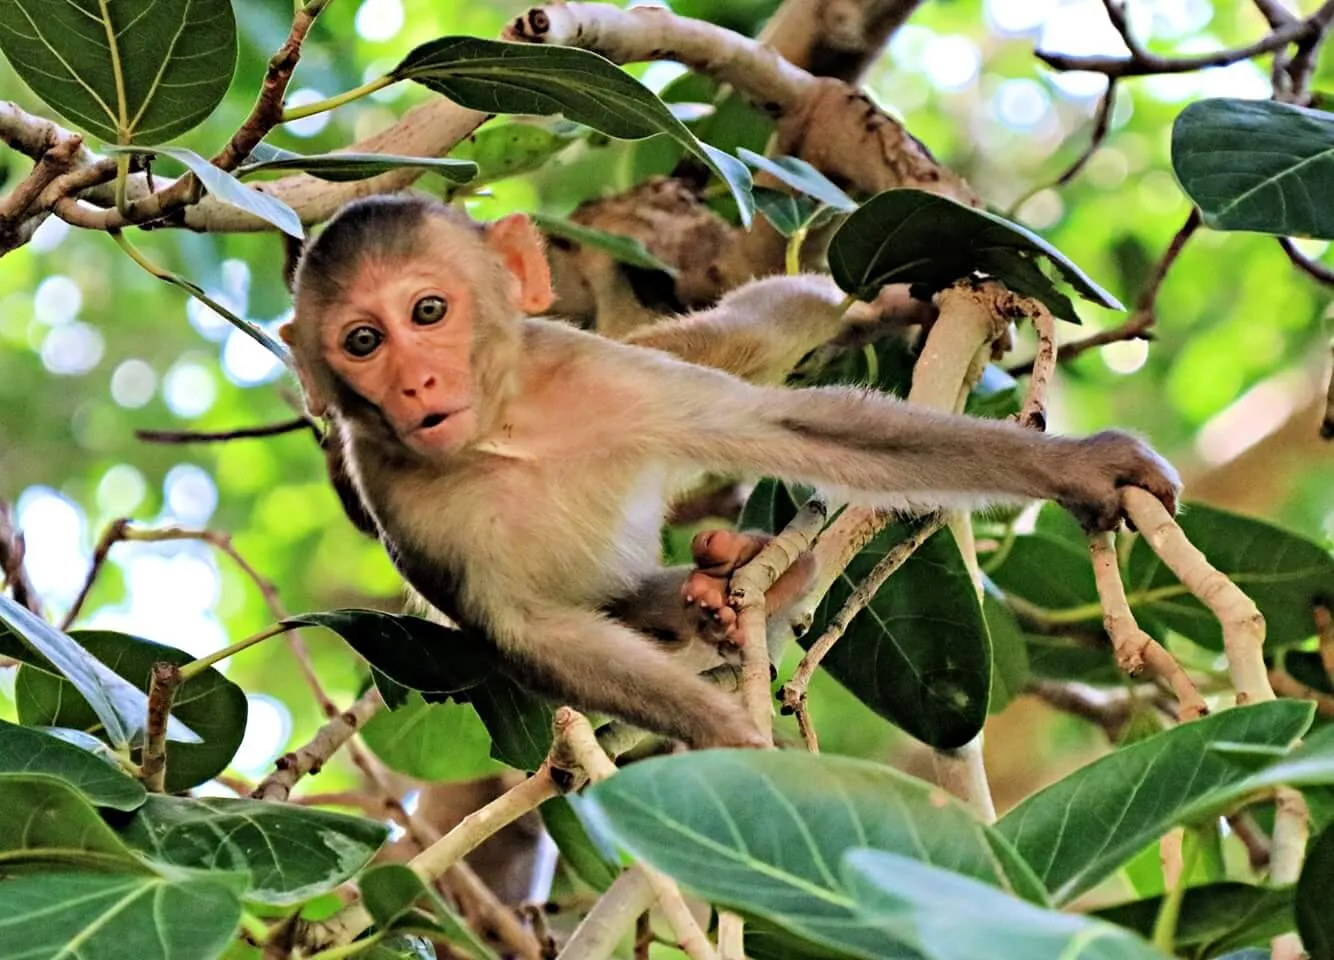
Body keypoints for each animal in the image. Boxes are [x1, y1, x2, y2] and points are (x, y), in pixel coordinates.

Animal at [281, 194, 1180, 751]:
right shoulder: (397, 503)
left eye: (428, 311)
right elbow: (526, 634)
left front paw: (1078, 469)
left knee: (756, 331)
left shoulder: (614, 375)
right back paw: (721, 589)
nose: (416, 384)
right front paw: (734, 740)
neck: (506, 434)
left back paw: (869, 310)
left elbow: (789, 427)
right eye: (364, 341)